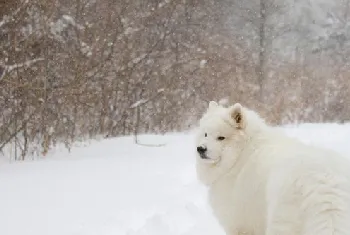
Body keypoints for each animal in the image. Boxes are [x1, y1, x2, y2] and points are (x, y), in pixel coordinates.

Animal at [196, 101, 350, 235]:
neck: (241, 153)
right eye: (205, 134)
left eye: (221, 138)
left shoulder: (241, 224)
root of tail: (325, 182)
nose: (200, 149)